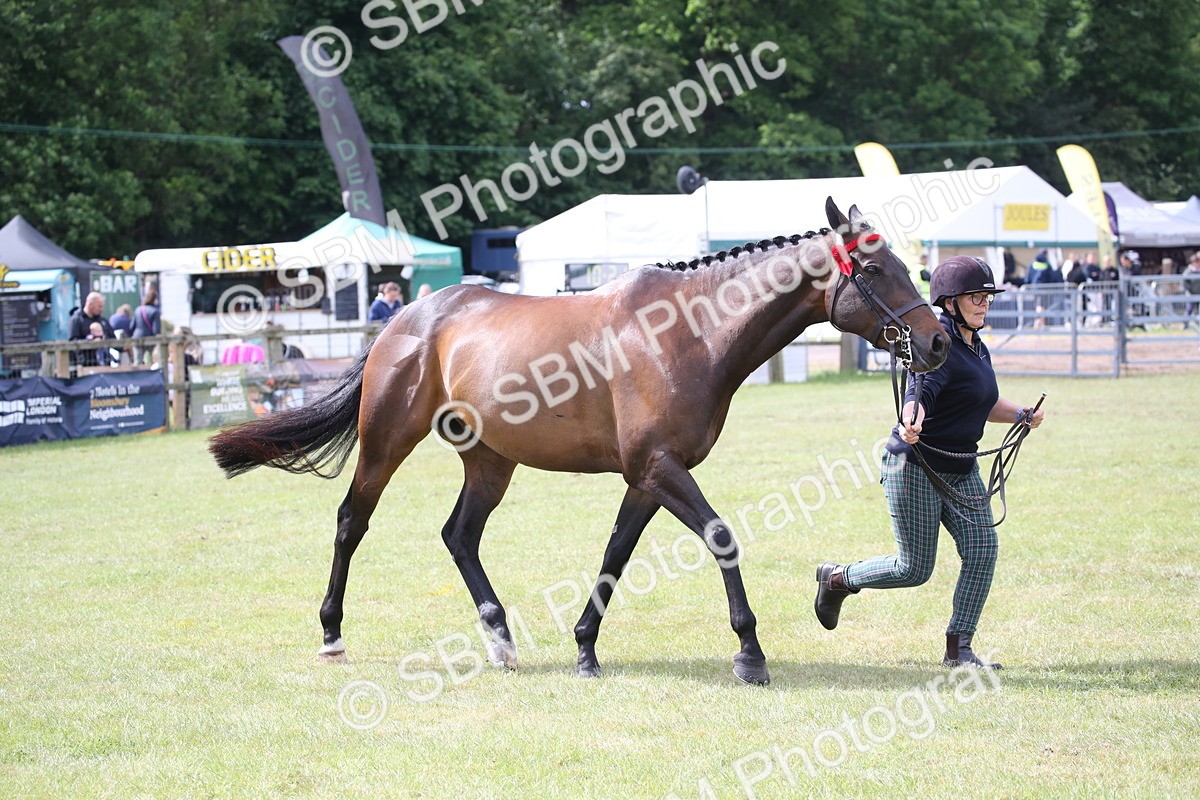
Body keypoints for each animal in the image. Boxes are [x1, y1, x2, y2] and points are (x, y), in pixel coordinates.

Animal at [209, 198, 949, 685]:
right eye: (875, 270)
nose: (938, 342)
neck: (688, 331)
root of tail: (407, 317)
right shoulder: (660, 468)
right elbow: (720, 538)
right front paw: (749, 653)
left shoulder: (646, 476)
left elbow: (615, 556)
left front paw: (585, 649)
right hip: (387, 442)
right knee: (351, 522)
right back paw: (332, 633)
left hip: (490, 460)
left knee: (458, 534)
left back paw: (500, 640)